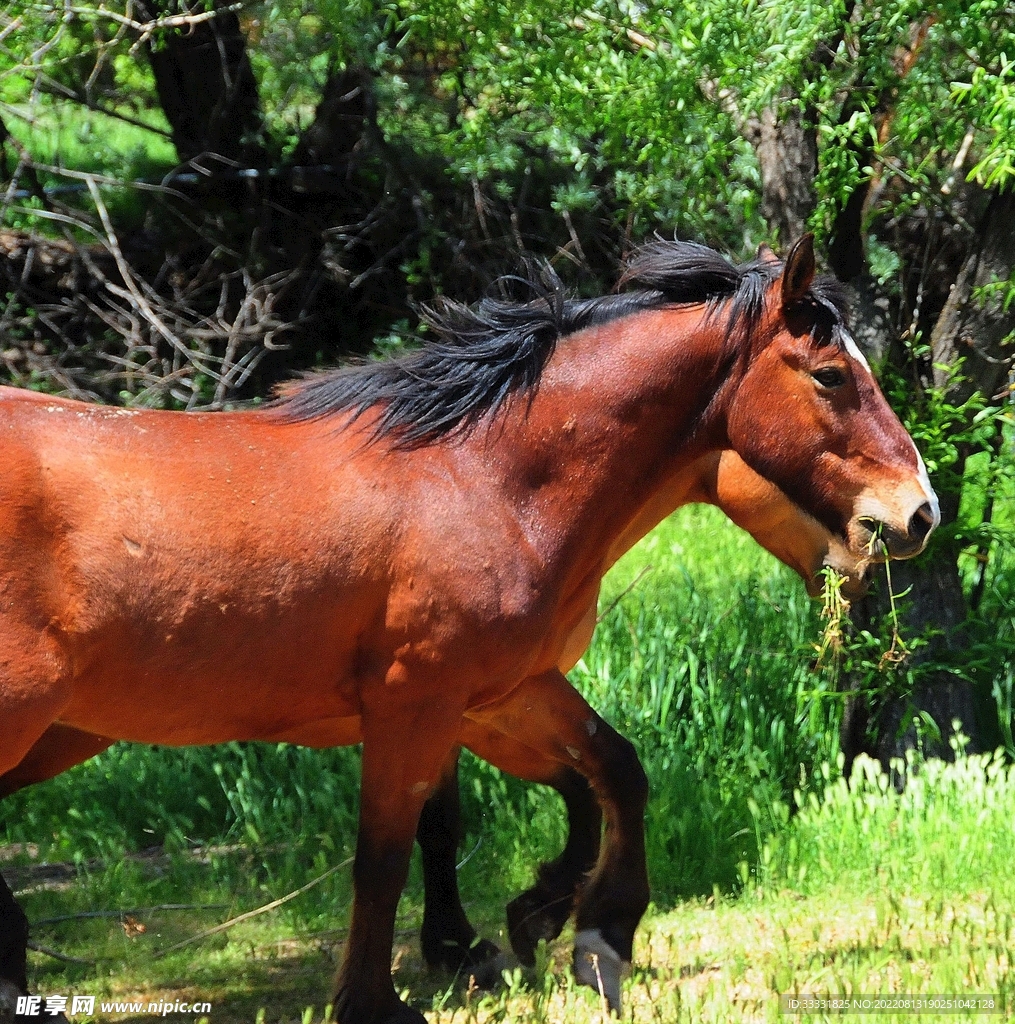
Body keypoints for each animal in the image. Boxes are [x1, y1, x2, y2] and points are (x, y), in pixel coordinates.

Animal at [0, 235, 937, 1023]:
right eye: (829, 376)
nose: (918, 514)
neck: (478, 478)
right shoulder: (416, 705)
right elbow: (387, 853)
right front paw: (380, 999)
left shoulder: (498, 693)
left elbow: (603, 774)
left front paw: (580, 931)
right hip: (29, 723)